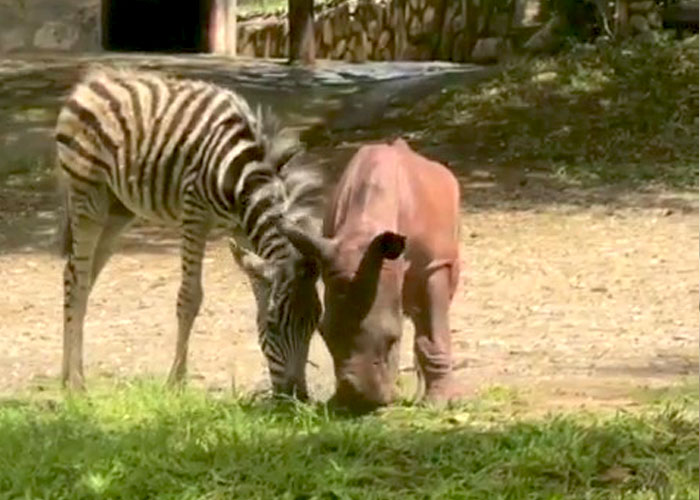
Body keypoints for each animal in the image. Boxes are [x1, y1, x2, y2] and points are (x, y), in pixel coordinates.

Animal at [56, 65, 324, 398]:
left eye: (314, 324)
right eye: (274, 324)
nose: (295, 397)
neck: (243, 179)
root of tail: (92, 79)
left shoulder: (243, 231)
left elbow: (257, 287)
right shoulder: (195, 213)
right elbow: (190, 297)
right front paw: (176, 383)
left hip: (118, 211)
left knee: (74, 275)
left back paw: (66, 377)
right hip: (87, 196)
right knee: (79, 280)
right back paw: (78, 385)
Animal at [278, 139, 464, 412]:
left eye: (393, 340)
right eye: (322, 334)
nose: (357, 401)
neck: (364, 230)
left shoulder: (434, 265)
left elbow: (433, 333)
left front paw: (438, 404)